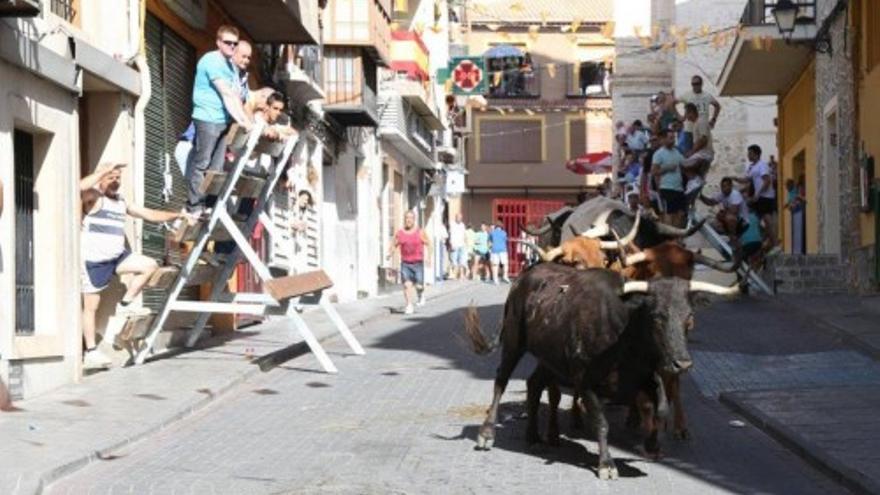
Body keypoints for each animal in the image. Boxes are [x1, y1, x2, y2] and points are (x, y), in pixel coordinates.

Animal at [464, 266, 740, 478]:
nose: (682, 364)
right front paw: (606, 464)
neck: (625, 335)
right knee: (501, 381)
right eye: (657, 317)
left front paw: (651, 445)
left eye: (689, 317)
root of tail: (525, 276)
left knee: (534, 385)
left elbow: (661, 408)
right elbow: (602, 422)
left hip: (549, 358)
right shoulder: (585, 381)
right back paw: (486, 434)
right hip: (514, 342)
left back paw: (533, 437)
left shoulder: (645, 376)